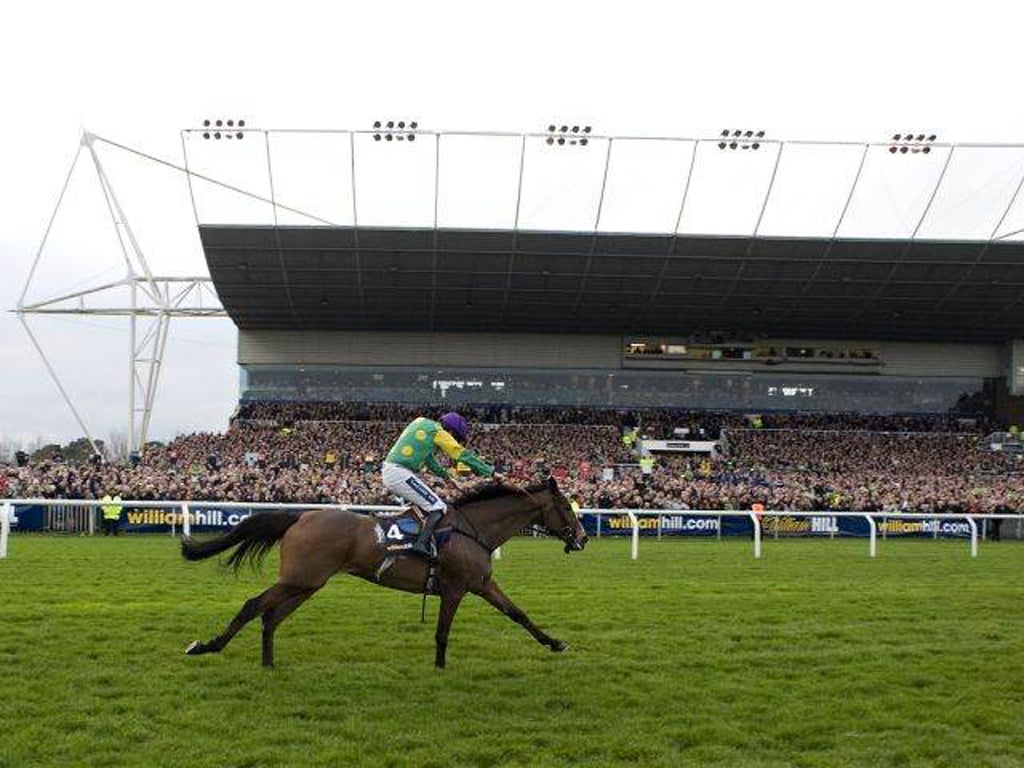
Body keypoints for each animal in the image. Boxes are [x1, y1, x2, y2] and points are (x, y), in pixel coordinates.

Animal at [180, 479, 589, 671]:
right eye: (568, 508)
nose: (583, 538)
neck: (474, 530)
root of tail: (300, 516)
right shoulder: (455, 588)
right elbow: (442, 632)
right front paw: (440, 668)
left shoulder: (482, 584)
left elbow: (518, 613)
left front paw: (555, 643)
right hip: (300, 579)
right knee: (254, 605)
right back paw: (205, 645)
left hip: (307, 582)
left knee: (270, 616)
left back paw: (268, 662)